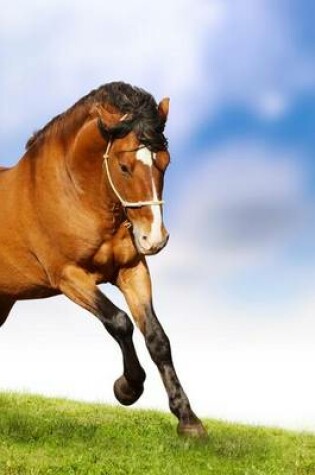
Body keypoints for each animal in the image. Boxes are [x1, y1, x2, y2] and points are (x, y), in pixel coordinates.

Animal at [0, 82, 207, 438]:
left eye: (165, 162)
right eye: (124, 167)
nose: (154, 239)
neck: (76, 193)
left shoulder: (132, 270)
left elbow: (157, 338)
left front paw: (188, 420)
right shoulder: (69, 276)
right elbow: (120, 322)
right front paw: (127, 388)